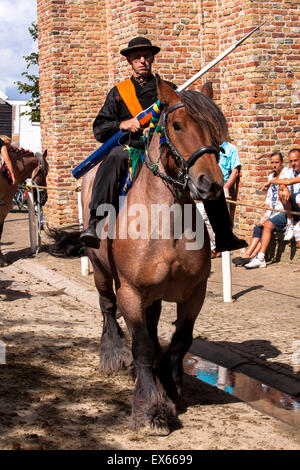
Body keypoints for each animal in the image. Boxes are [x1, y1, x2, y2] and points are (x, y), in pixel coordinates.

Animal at [81, 77, 229, 434]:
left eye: (217, 130)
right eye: (177, 125)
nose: (211, 184)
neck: (166, 224)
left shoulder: (194, 293)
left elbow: (179, 341)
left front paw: (171, 385)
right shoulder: (131, 292)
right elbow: (143, 346)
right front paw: (152, 407)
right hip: (100, 271)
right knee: (107, 309)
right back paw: (113, 355)